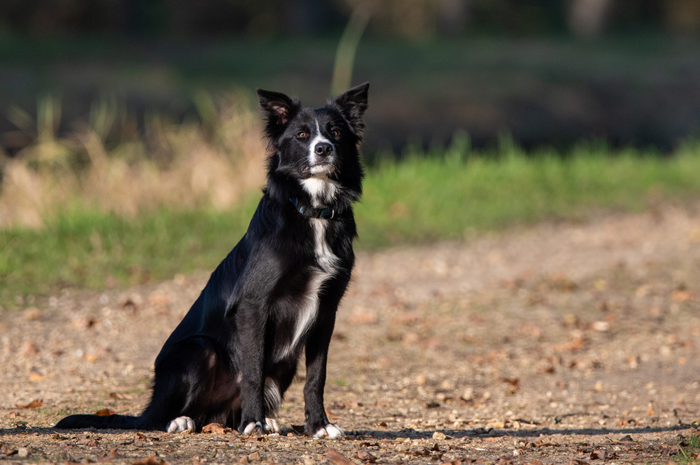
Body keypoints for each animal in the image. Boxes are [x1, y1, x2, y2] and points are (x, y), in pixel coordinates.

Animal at [57, 81, 370, 436]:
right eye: (302, 134)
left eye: (335, 132)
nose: (324, 149)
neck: (312, 210)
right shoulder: (254, 305)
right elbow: (252, 371)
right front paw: (254, 422)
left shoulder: (326, 310)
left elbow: (316, 377)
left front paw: (318, 426)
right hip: (198, 350)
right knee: (163, 416)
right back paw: (185, 419)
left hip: (283, 365)